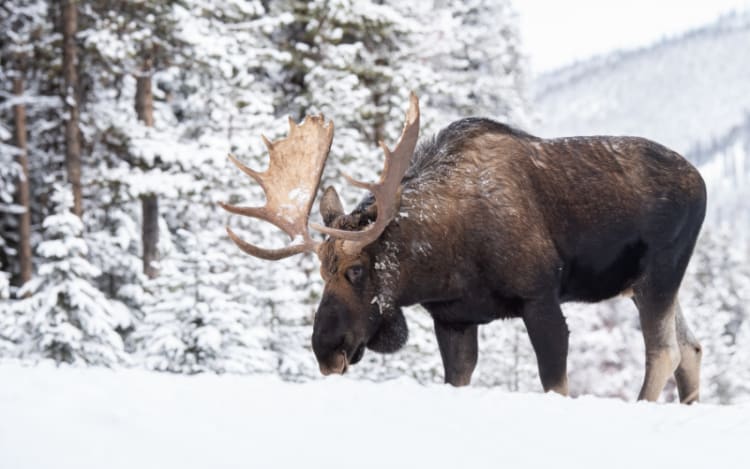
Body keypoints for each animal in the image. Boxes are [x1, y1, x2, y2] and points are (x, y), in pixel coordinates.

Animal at [220, 93, 706, 403]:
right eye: (322, 272)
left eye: (356, 269)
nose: (326, 349)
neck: (442, 262)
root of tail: (701, 181)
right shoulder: (453, 320)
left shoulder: (540, 298)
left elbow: (555, 383)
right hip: (644, 285)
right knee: (692, 348)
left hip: (660, 272)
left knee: (665, 352)